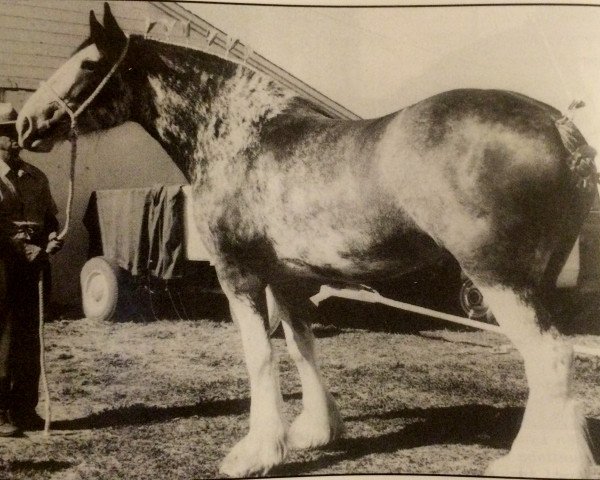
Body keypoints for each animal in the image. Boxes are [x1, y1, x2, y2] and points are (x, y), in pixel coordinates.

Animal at [16, 2, 596, 476]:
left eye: (88, 65)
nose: (23, 122)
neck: (241, 139)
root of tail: (558, 126)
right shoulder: (289, 279)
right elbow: (302, 348)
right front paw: (316, 432)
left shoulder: (239, 275)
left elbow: (260, 358)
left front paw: (255, 454)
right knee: (546, 361)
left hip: (498, 278)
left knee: (550, 356)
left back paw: (544, 463)